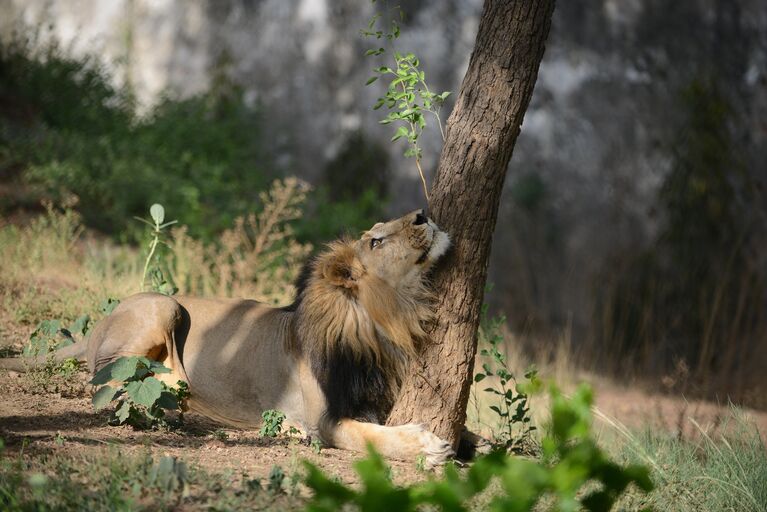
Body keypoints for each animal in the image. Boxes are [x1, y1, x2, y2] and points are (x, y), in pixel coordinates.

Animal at [0, 210, 456, 466]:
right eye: (376, 240)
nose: (422, 214)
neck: (384, 323)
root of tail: (98, 322)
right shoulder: (323, 422)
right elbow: (370, 436)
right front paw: (425, 446)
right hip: (164, 305)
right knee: (110, 380)